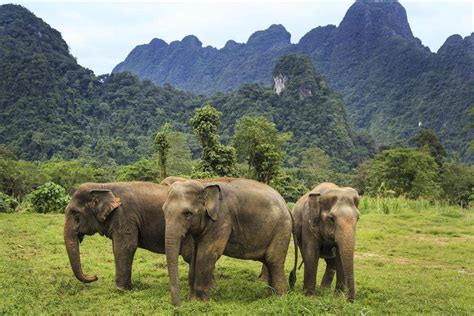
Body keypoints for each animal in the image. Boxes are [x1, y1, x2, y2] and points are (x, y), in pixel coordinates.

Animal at [64, 181, 193, 290]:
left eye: (75, 215)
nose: (95, 276)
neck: (102, 186)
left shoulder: (125, 215)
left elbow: (124, 247)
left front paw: (121, 289)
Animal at [162, 180, 296, 306]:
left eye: (188, 213)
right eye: (164, 211)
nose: (179, 305)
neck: (204, 186)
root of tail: (287, 207)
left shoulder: (222, 220)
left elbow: (207, 253)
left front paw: (200, 302)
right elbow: (195, 254)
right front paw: (192, 300)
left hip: (281, 229)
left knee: (274, 261)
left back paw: (279, 298)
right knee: (269, 261)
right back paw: (269, 296)